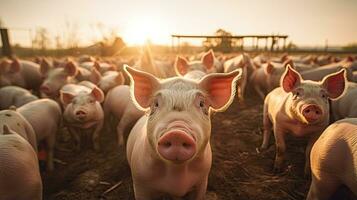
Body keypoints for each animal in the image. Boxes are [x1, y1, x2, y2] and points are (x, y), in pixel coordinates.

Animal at [124, 65, 241, 199]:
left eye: (201, 104)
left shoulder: (202, 180)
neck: (177, 173)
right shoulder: (140, 183)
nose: (177, 133)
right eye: (156, 104)